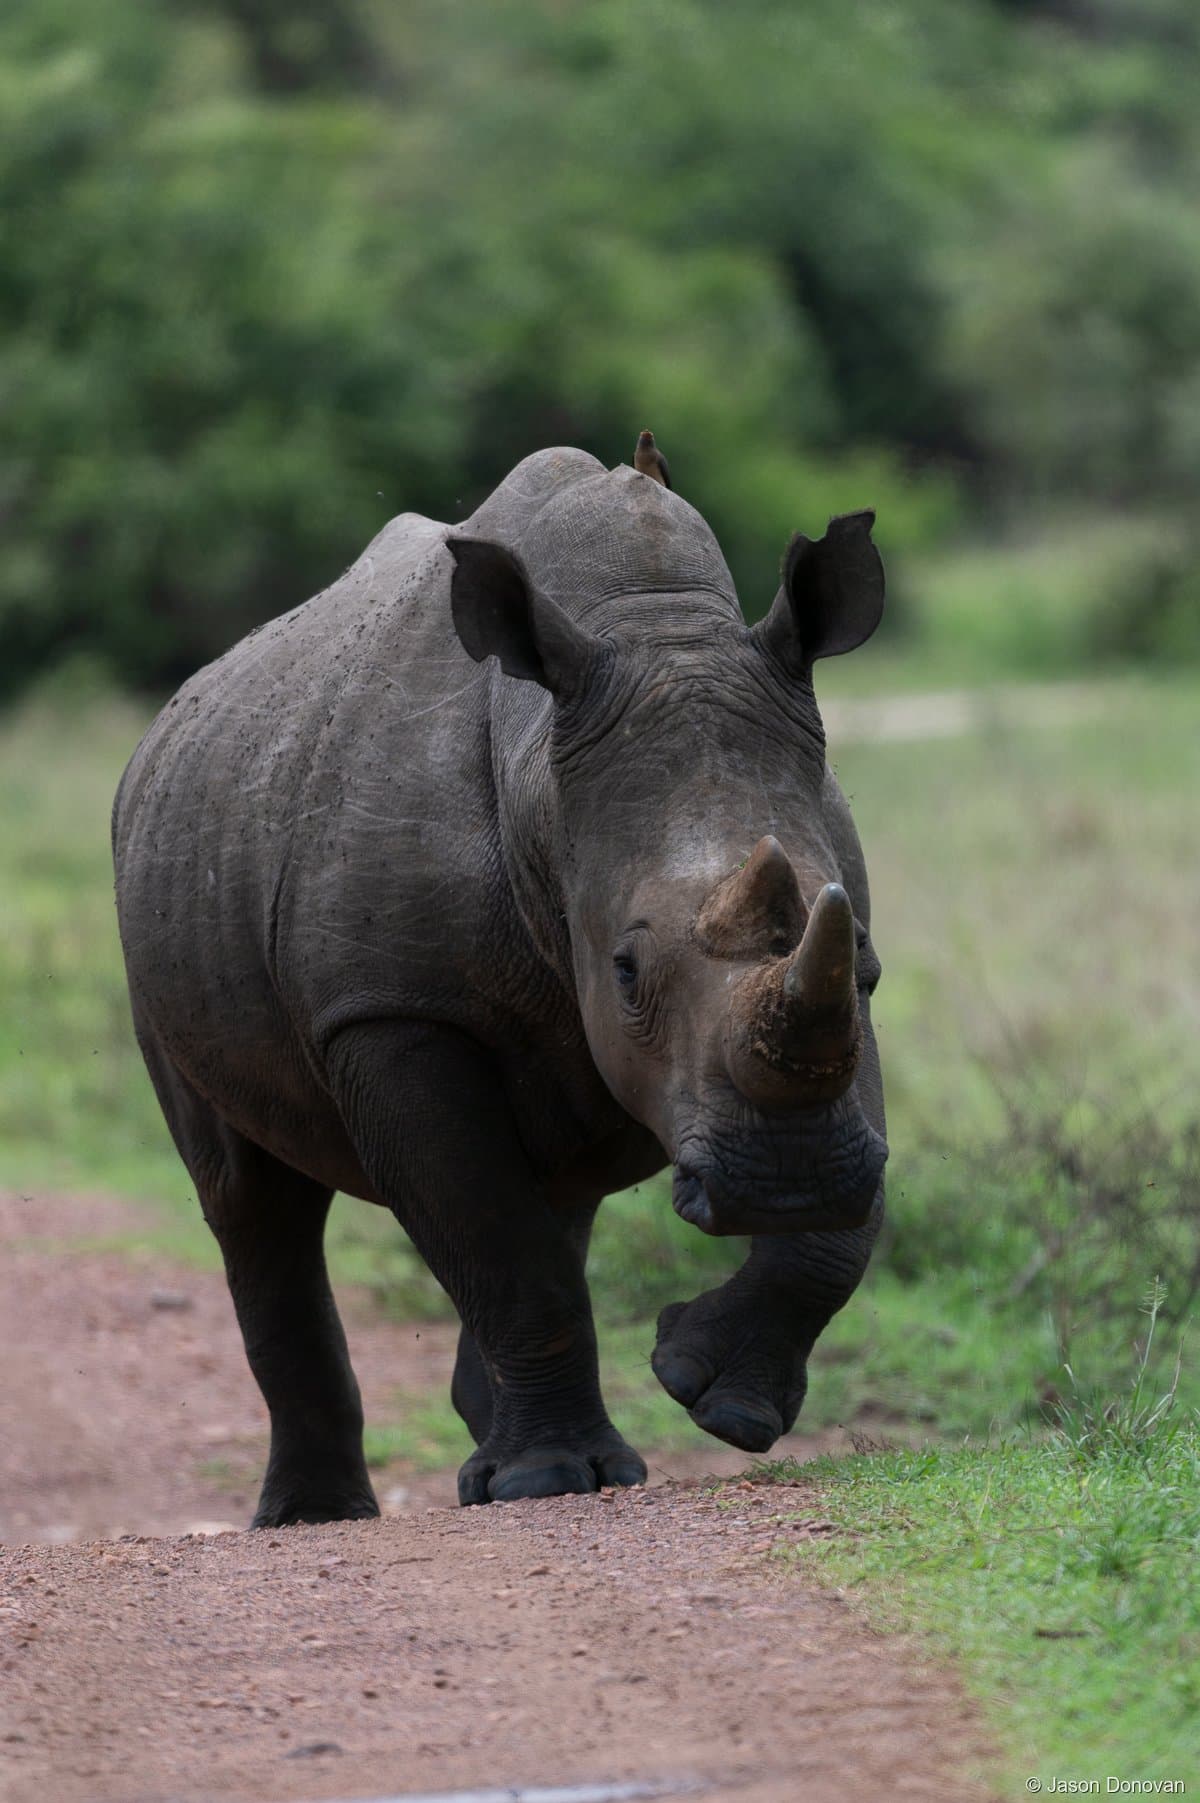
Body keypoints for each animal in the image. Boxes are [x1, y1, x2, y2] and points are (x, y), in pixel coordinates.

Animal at [112, 447, 888, 1525]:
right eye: (627, 971)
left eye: (853, 947)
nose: (787, 1182)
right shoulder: (390, 1010)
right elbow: (499, 1246)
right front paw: (548, 1479)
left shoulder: (846, 976)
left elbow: (844, 1221)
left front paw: (714, 1398)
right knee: (249, 1198)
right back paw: (320, 1514)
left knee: (559, 1186)